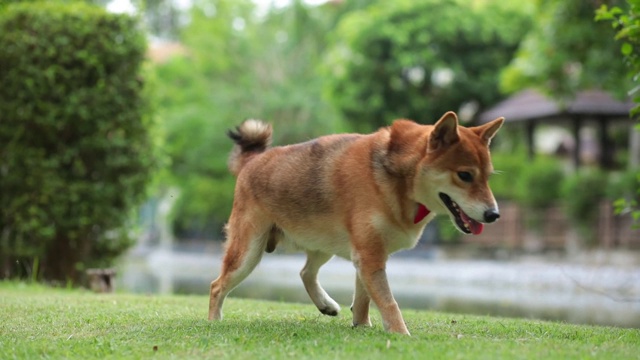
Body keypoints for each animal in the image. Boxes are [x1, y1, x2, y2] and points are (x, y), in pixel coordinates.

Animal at [210, 112, 504, 334]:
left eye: (488, 176)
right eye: (465, 175)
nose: (494, 215)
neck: (399, 179)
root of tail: (252, 161)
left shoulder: (368, 254)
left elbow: (364, 299)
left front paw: (361, 326)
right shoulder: (369, 254)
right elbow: (388, 302)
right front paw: (400, 333)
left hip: (323, 244)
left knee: (306, 273)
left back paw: (325, 304)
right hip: (247, 253)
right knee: (217, 286)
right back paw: (214, 321)